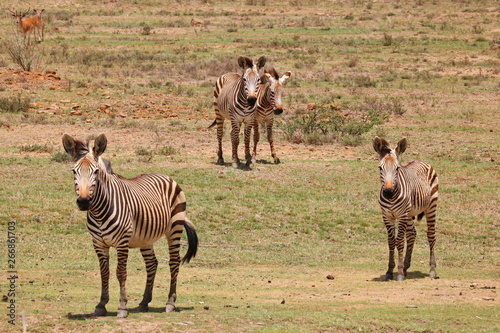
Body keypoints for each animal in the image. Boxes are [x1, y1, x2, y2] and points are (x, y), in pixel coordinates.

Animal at [61, 132, 197, 316]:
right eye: (74, 171)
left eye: (96, 171)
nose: (83, 202)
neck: (99, 212)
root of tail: (165, 176)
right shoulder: (98, 243)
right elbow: (104, 272)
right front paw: (101, 305)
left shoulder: (122, 242)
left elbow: (121, 272)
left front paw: (122, 307)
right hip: (146, 237)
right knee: (152, 264)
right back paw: (144, 302)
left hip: (174, 228)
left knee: (174, 262)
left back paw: (170, 303)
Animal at [374, 137, 440, 280]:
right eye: (380, 168)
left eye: (397, 168)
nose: (388, 192)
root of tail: (420, 160)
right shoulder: (387, 216)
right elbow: (391, 242)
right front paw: (389, 271)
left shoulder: (401, 215)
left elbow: (399, 241)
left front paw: (398, 273)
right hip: (410, 213)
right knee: (411, 234)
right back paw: (406, 266)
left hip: (431, 207)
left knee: (431, 235)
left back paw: (432, 271)